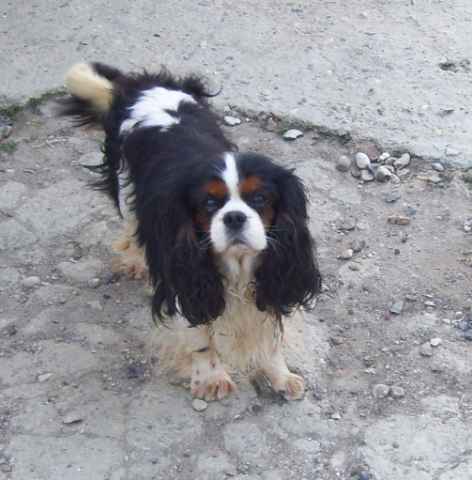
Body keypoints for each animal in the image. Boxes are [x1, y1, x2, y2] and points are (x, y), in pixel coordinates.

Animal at [60, 62, 322, 401]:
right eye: (209, 203)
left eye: (260, 198)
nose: (234, 217)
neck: (238, 266)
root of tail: (143, 84)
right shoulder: (184, 276)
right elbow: (199, 336)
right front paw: (211, 378)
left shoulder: (276, 274)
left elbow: (271, 332)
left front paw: (280, 374)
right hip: (125, 185)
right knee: (132, 226)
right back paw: (134, 260)